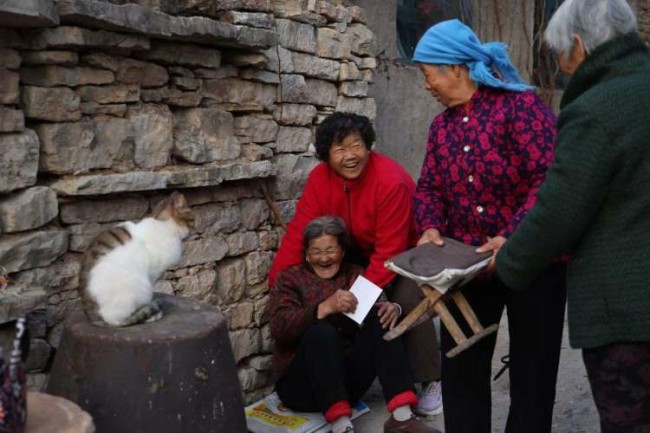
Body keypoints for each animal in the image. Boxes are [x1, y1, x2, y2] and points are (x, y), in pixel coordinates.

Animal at [78, 191, 192, 326]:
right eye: (193, 219)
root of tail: (95, 318)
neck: (163, 225)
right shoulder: (152, 275)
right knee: (123, 320)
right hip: (137, 287)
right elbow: (151, 296)